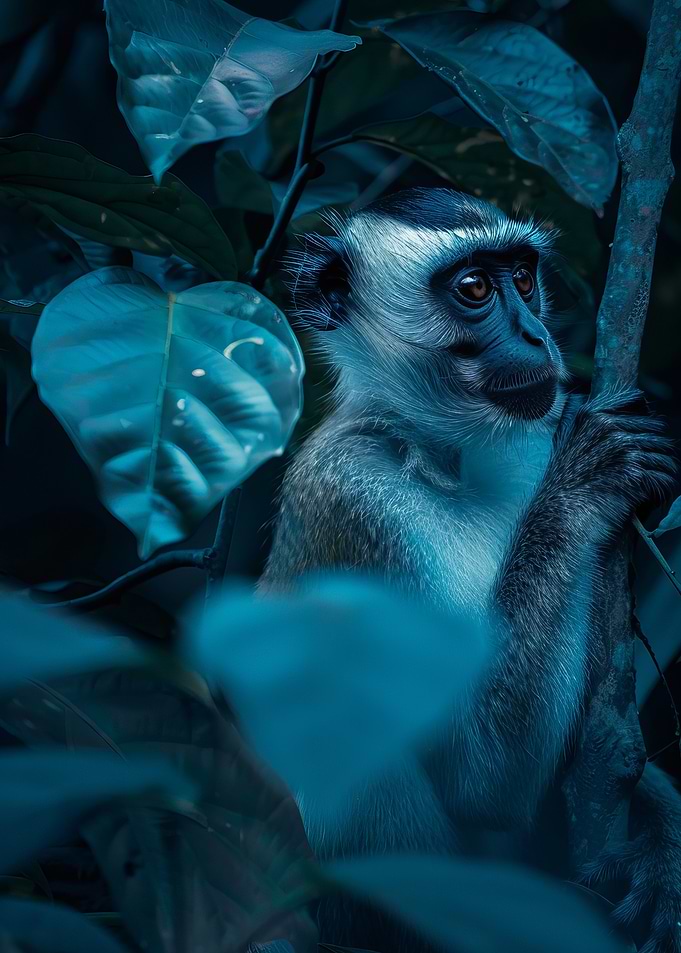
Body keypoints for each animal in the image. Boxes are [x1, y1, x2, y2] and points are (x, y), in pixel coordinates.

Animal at [259, 189, 681, 953]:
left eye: (522, 277)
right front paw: (586, 478)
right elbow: (479, 772)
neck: (444, 456)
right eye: (475, 289)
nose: (538, 338)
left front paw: (662, 838)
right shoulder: (356, 499)